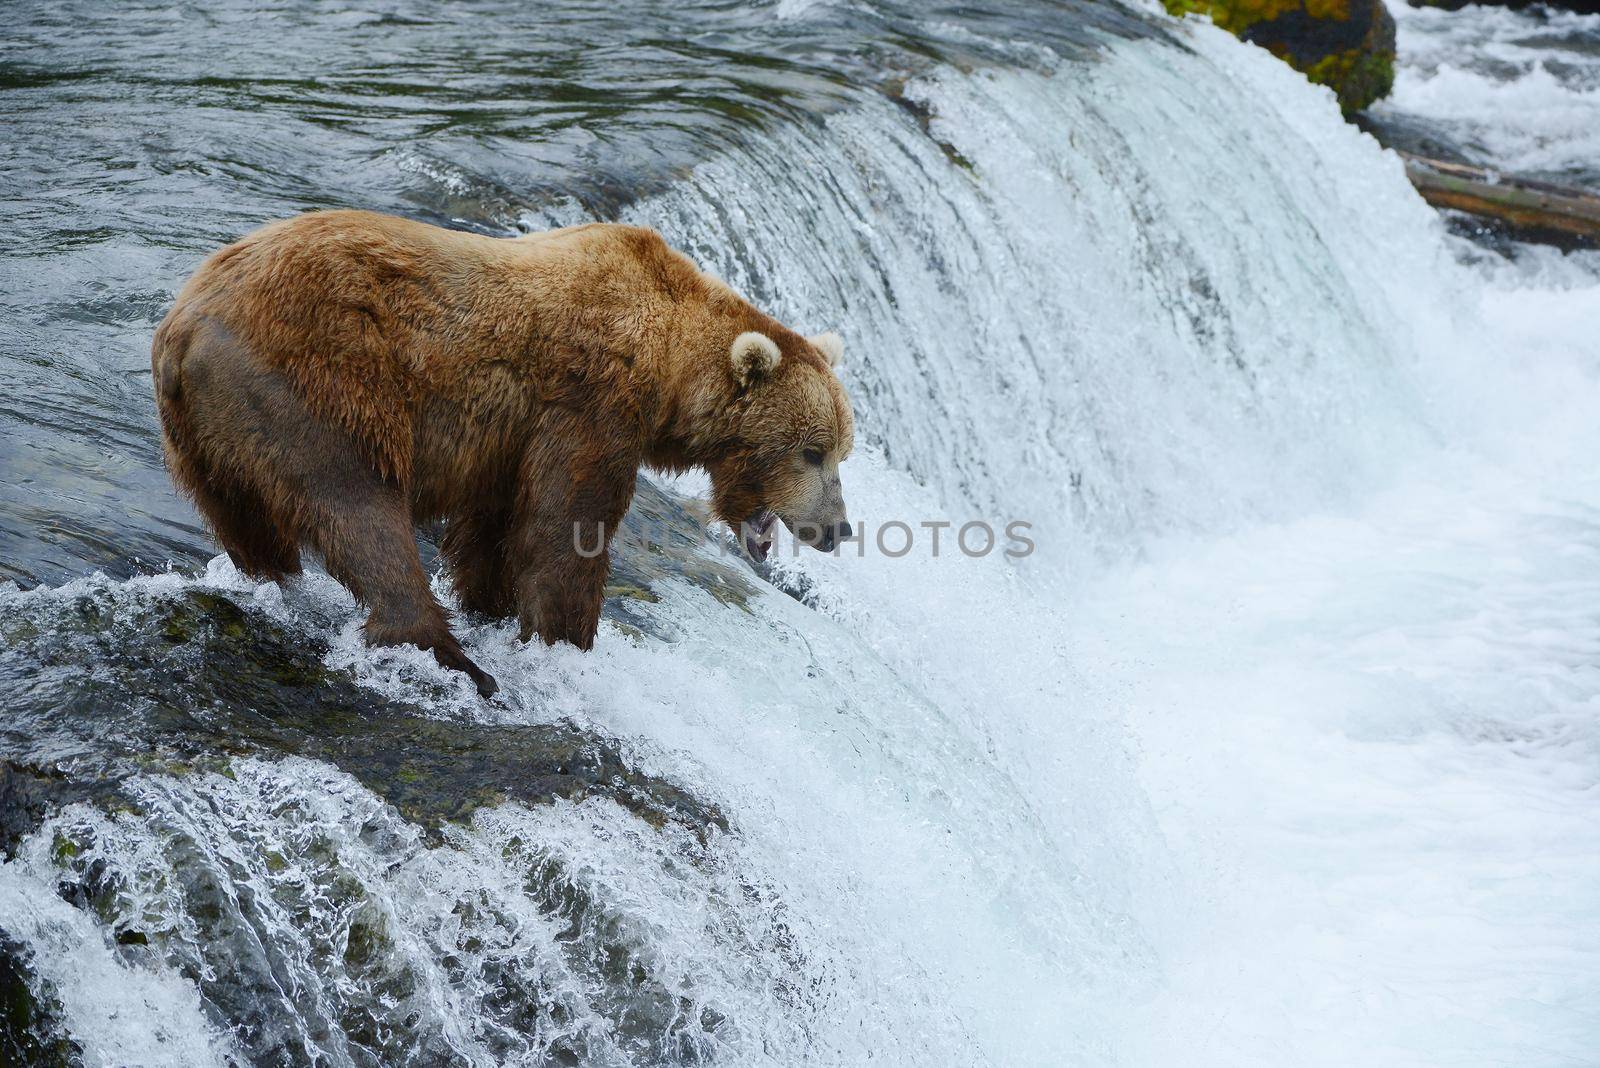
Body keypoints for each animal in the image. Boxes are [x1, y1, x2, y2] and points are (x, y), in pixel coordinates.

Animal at [152, 211, 851, 697]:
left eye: (841, 449)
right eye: (813, 452)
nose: (837, 529)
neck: (671, 368)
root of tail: (182, 328)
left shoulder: (507, 441)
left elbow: (493, 532)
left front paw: (492, 607)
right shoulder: (589, 403)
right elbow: (566, 526)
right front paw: (566, 640)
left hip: (206, 440)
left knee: (250, 524)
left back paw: (273, 583)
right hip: (315, 385)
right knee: (358, 509)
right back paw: (452, 660)